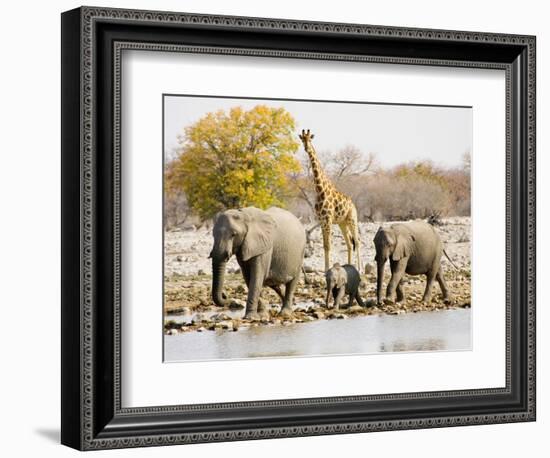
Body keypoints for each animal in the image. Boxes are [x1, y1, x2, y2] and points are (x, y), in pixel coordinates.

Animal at [300, 129, 364, 272]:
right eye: (302, 140)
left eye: (310, 139)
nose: (306, 148)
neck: (320, 190)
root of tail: (353, 205)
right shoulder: (322, 220)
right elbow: (325, 245)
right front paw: (325, 269)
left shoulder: (328, 219)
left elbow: (328, 245)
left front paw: (327, 269)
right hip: (342, 223)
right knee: (349, 243)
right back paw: (349, 266)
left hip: (352, 219)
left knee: (357, 241)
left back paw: (359, 269)